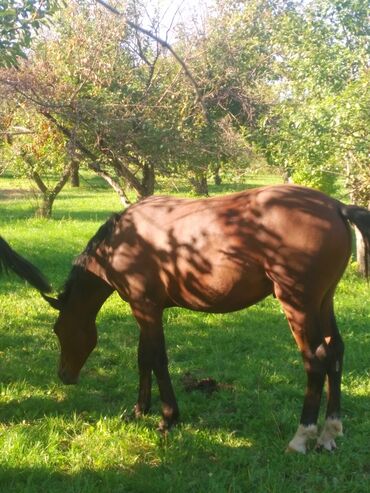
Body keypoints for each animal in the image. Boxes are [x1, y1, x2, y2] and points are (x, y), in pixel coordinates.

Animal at [42, 185, 370, 454]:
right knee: (335, 352)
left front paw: (168, 418)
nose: (64, 375)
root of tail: (336, 206)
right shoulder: (146, 309)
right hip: (323, 302)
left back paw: (302, 437)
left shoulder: (145, 308)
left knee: (316, 360)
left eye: (59, 330)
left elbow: (157, 358)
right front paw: (139, 409)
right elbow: (144, 357)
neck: (124, 240)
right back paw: (329, 434)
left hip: (298, 305)